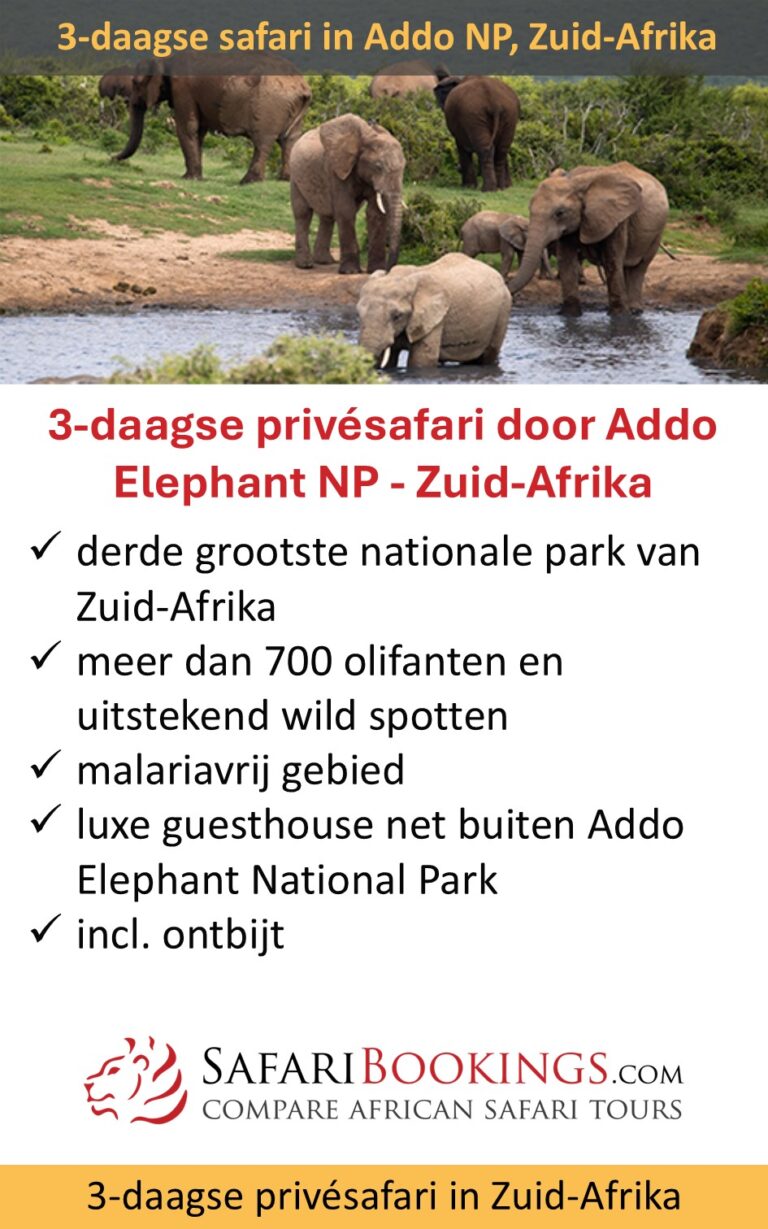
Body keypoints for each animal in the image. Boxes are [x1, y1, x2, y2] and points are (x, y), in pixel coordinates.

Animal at [114, 53, 311, 183]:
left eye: (135, 83)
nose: (112, 159)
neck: (164, 57)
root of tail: (303, 86)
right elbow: (199, 131)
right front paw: (196, 177)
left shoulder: (183, 90)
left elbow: (187, 128)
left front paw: (189, 179)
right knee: (289, 140)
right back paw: (285, 179)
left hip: (269, 104)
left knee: (263, 142)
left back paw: (247, 182)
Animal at [290, 113, 405, 275]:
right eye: (378, 167)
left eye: (404, 167)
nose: (388, 270)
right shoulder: (336, 169)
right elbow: (346, 210)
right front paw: (350, 272)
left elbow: (375, 213)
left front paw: (375, 270)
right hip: (295, 177)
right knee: (303, 214)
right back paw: (305, 265)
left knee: (328, 217)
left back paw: (325, 261)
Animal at [357, 253, 511, 369]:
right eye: (359, 314)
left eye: (397, 316)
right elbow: (390, 360)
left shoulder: (435, 319)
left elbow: (421, 360)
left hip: (503, 308)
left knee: (488, 354)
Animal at [509, 162, 669, 314]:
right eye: (529, 209)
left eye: (559, 213)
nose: (512, 296)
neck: (576, 181)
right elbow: (566, 260)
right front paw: (569, 314)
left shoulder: (619, 217)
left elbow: (612, 261)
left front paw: (619, 316)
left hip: (657, 231)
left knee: (639, 267)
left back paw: (634, 310)